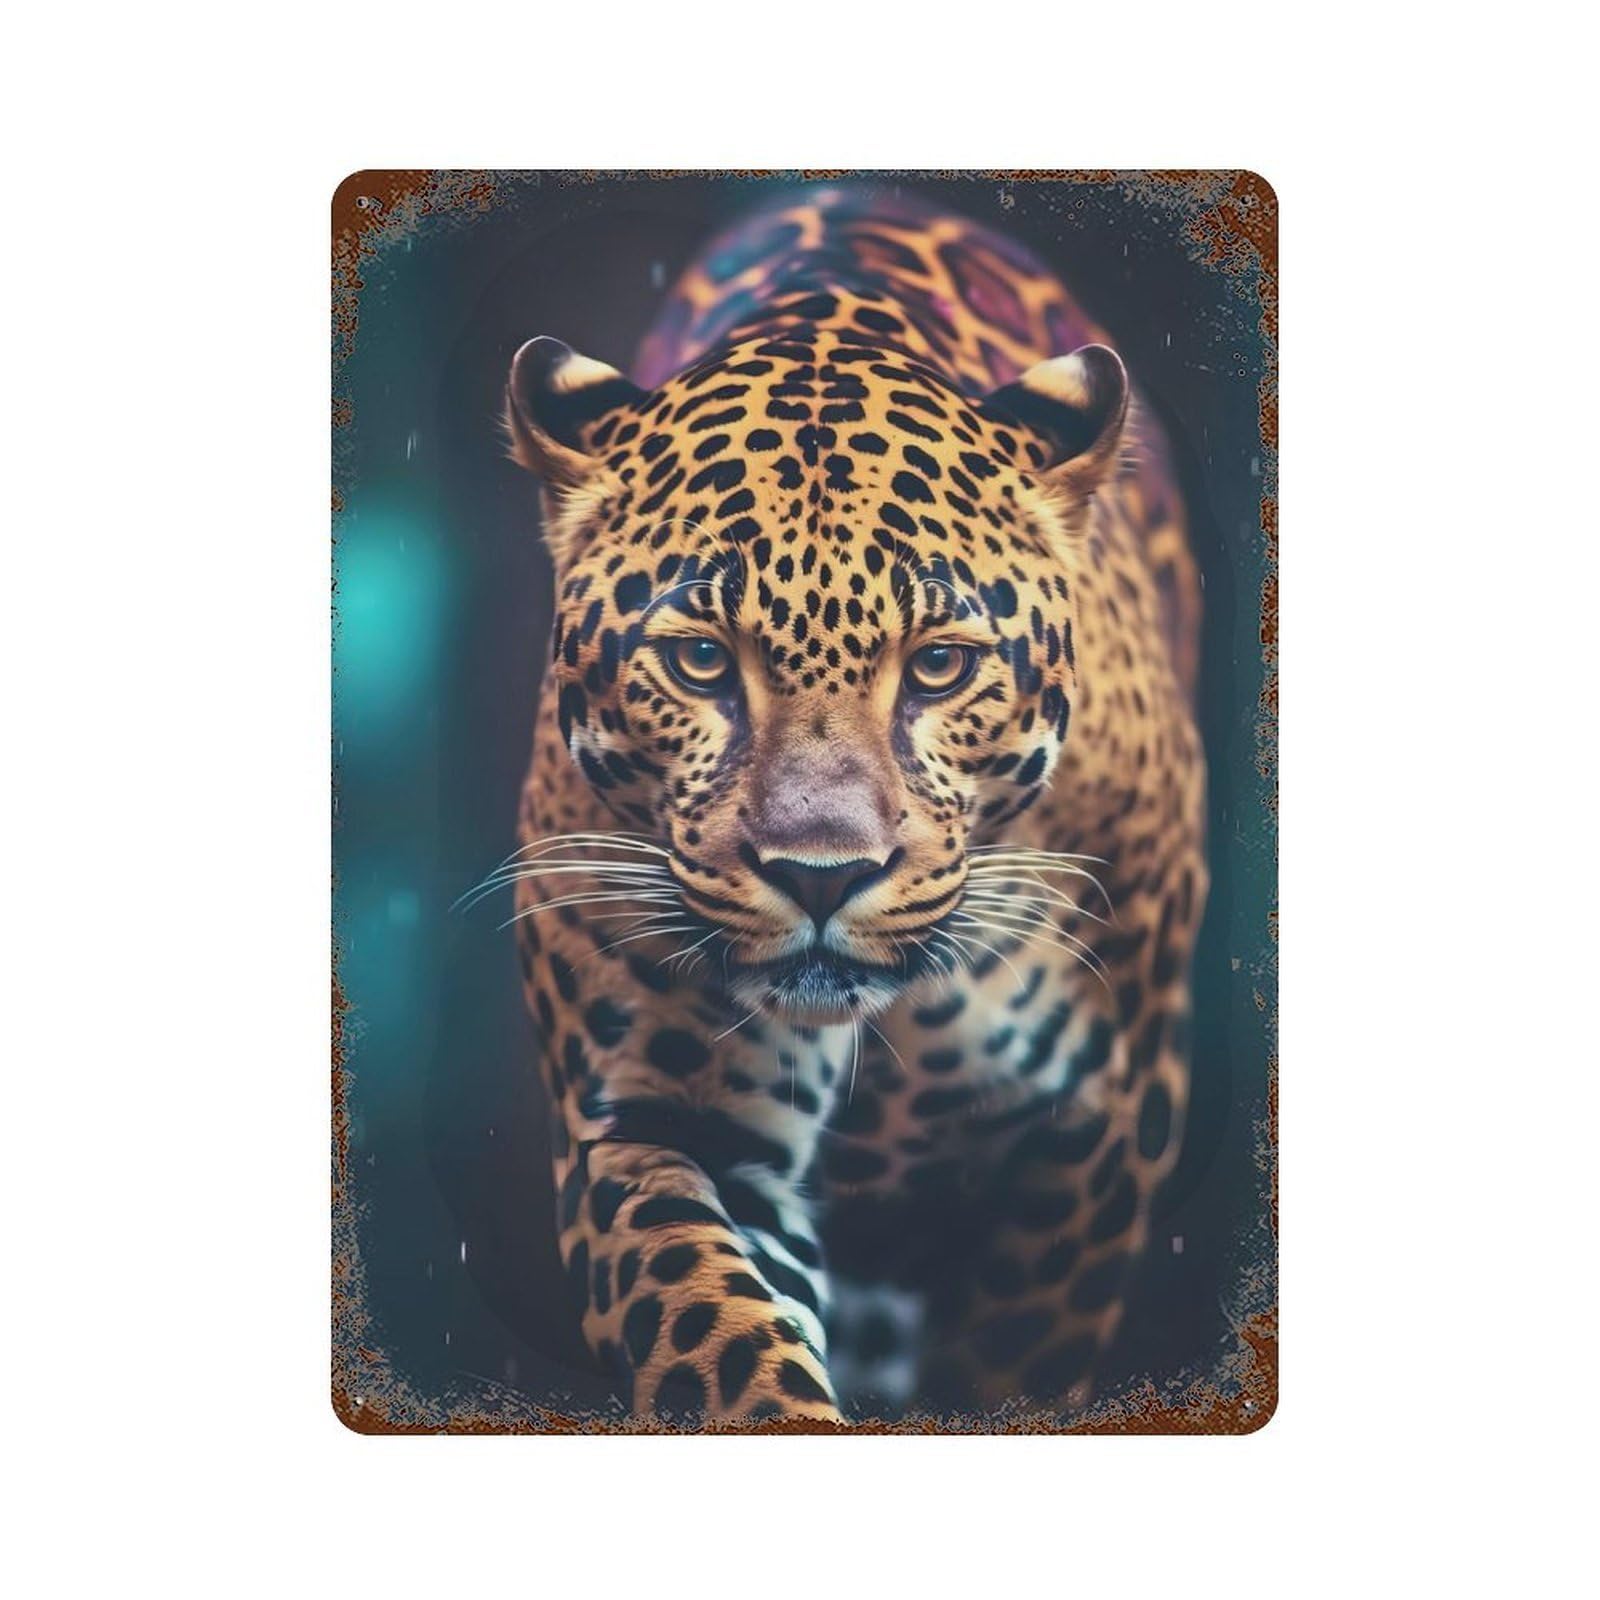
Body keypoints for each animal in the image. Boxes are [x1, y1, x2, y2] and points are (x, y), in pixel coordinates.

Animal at [491, 184, 1207, 1425]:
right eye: (698, 661)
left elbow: (1012, 1360)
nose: (820, 878)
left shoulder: (1099, 1129)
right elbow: (721, 1338)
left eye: (938, 667)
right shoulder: (651, 1120)